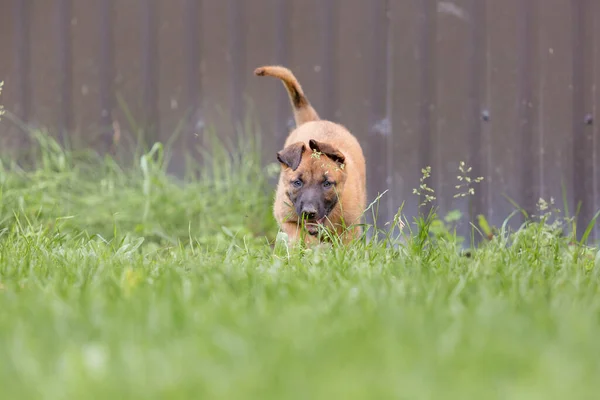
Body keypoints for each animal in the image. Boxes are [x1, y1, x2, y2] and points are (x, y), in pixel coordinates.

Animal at [253, 65, 366, 245]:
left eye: (327, 184)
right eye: (297, 183)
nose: (309, 212)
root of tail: (314, 120)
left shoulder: (351, 228)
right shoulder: (287, 219)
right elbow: (302, 238)